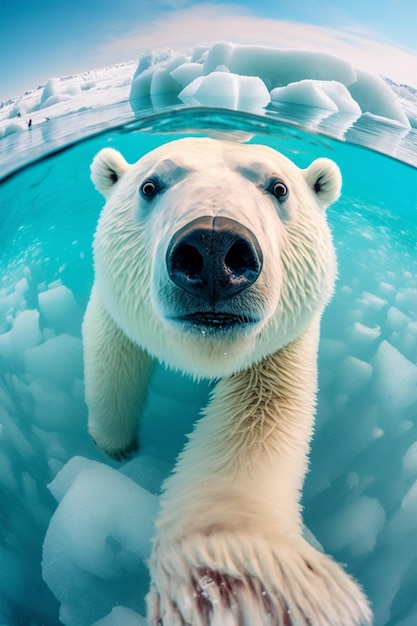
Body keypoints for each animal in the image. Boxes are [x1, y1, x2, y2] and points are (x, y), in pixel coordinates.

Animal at [82, 138, 370, 624]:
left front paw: (243, 584)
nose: (214, 247)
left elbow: (260, 415)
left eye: (278, 187)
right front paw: (117, 446)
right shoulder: (113, 305)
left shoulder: (281, 344)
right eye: (149, 185)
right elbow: (111, 361)